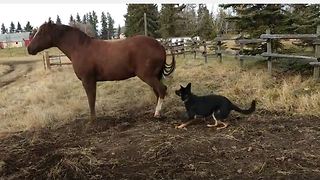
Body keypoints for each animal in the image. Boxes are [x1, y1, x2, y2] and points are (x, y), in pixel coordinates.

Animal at [27, 21, 175, 121]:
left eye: (41, 33)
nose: (29, 48)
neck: (80, 48)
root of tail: (160, 45)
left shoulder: (88, 80)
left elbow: (91, 99)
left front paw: (93, 120)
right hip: (155, 76)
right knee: (158, 92)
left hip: (148, 76)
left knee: (162, 89)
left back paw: (157, 113)